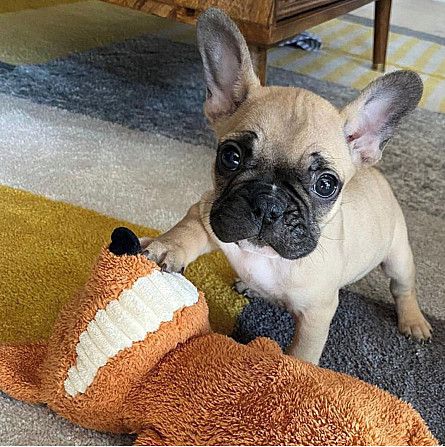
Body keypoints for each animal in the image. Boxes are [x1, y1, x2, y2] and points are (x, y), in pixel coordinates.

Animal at [141, 7, 430, 364]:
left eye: (326, 185)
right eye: (230, 156)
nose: (268, 203)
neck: (267, 257)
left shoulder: (316, 317)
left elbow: (302, 355)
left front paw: (294, 373)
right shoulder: (211, 212)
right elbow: (188, 229)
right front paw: (165, 246)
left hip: (398, 255)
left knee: (403, 287)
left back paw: (414, 320)